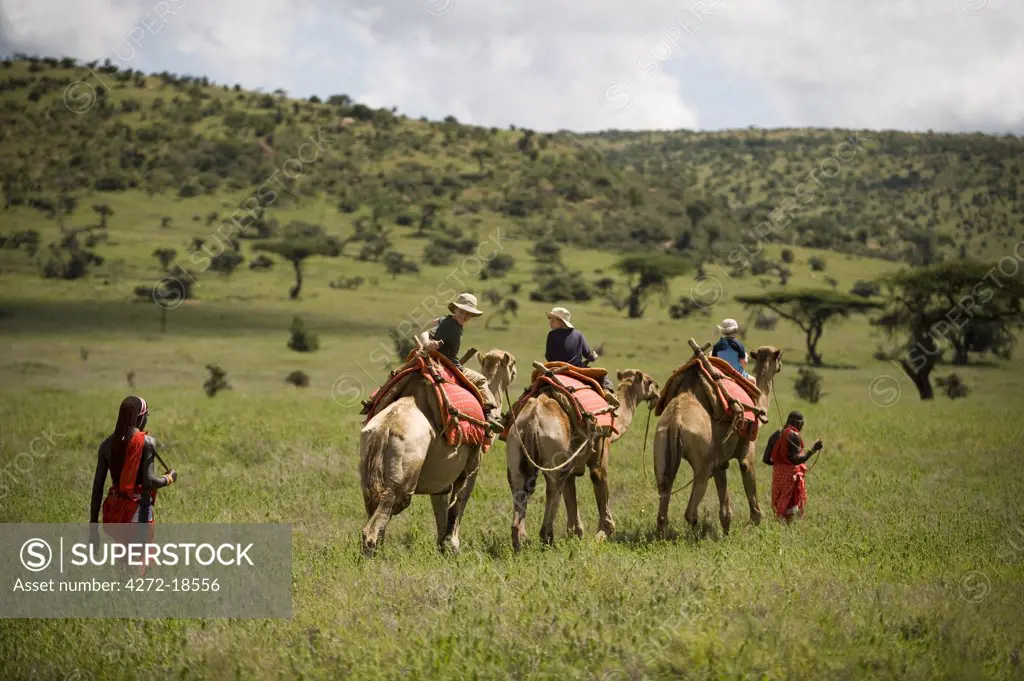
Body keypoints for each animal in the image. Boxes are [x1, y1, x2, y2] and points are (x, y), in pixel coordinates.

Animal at [362, 348, 520, 557]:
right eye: (512, 363)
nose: (516, 370)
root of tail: (384, 430)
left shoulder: (441, 477)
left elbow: (441, 507)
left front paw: (443, 547)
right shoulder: (472, 466)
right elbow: (459, 502)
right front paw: (453, 545)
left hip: (368, 472)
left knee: (374, 513)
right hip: (402, 479)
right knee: (377, 523)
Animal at [505, 366, 663, 552]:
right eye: (650, 381)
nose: (658, 392)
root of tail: (532, 419)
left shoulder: (572, 465)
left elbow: (571, 499)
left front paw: (576, 536)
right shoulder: (600, 452)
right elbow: (598, 481)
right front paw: (599, 537)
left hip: (516, 447)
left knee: (521, 489)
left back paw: (520, 542)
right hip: (554, 451)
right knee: (553, 488)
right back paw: (547, 539)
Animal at [655, 348, 782, 540]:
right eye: (778, 357)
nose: (780, 366)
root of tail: (675, 421)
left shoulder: (720, 461)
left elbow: (725, 507)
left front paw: (727, 533)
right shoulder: (746, 454)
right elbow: (755, 509)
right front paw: (749, 531)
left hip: (661, 444)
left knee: (664, 493)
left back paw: (663, 538)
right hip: (703, 461)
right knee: (691, 510)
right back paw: (699, 537)